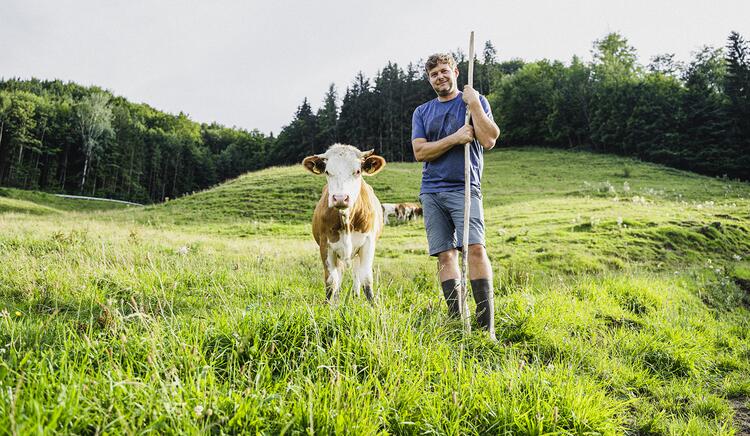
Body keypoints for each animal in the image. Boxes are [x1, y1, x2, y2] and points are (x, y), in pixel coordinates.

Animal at [302, 143, 388, 304]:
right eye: (327, 172)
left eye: (358, 171)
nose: (340, 198)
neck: (346, 220)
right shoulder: (325, 245)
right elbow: (331, 280)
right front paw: (328, 304)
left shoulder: (368, 243)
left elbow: (366, 278)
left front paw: (373, 305)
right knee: (339, 274)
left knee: (356, 272)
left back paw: (355, 295)